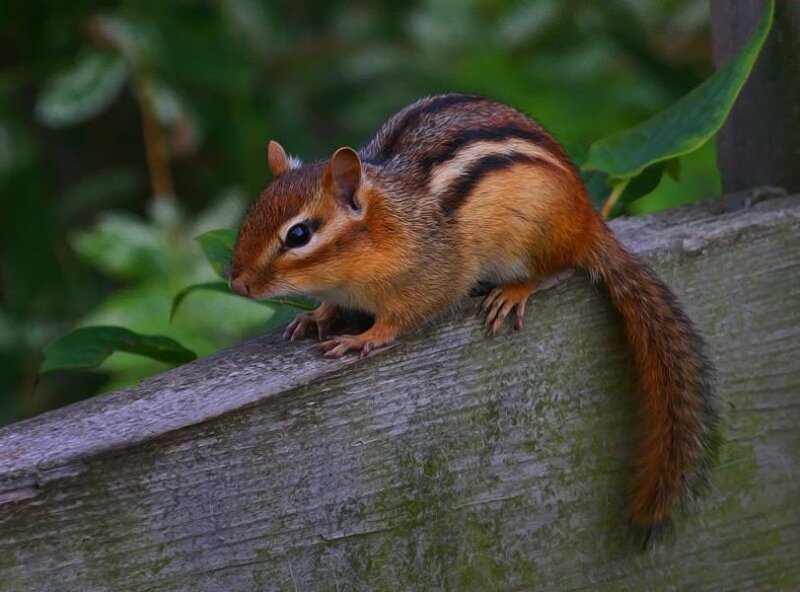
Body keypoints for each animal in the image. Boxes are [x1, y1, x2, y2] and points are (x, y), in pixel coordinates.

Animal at [230, 93, 720, 541]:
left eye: (298, 234)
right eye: (251, 215)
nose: (237, 285)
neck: (386, 223)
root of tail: (587, 220)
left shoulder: (435, 275)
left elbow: (404, 317)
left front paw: (362, 337)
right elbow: (331, 306)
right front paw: (316, 317)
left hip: (534, 236)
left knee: (551, 269)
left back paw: (513, 290)